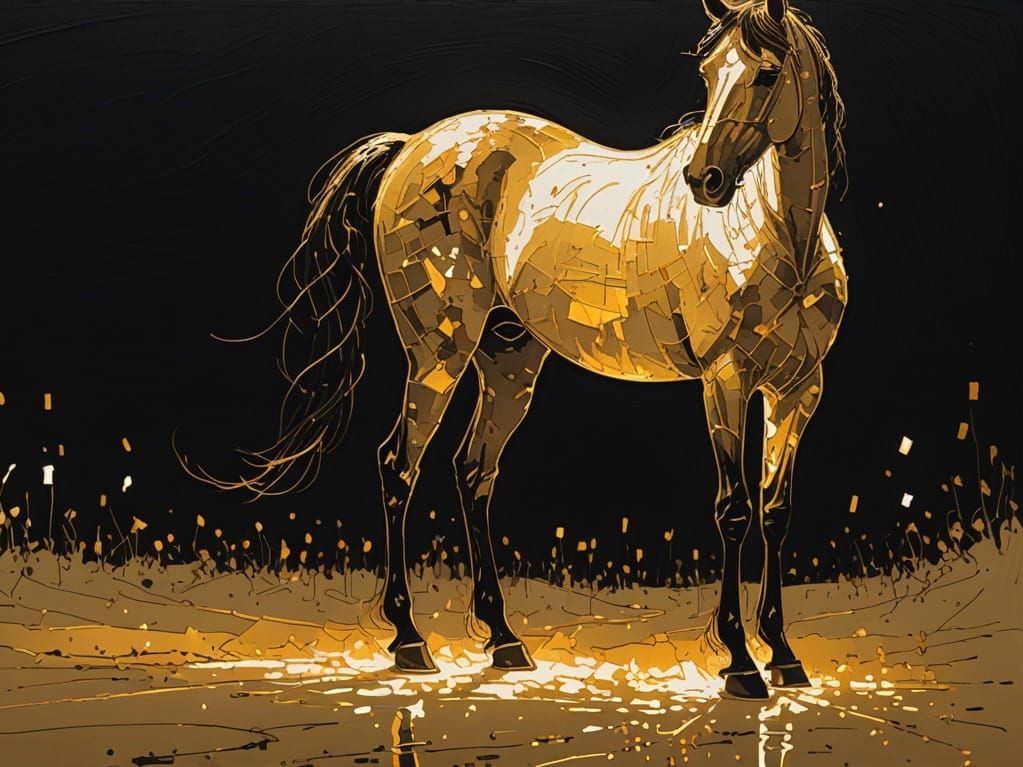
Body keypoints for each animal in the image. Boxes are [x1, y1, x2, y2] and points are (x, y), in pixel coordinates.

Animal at [199, 0, 847, 700]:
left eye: (766, 72)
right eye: (707, 73)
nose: (705, 180)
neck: (779, 237)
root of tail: (412, 147)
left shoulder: (799, 390)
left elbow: (776, 511)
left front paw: (783, 654)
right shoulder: (724, 381)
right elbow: (734, 511)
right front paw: (740, 662)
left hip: (509, 363)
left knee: (472, 471)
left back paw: (504, 640)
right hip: (439, 353)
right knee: (399, 466)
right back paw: (409, 641)